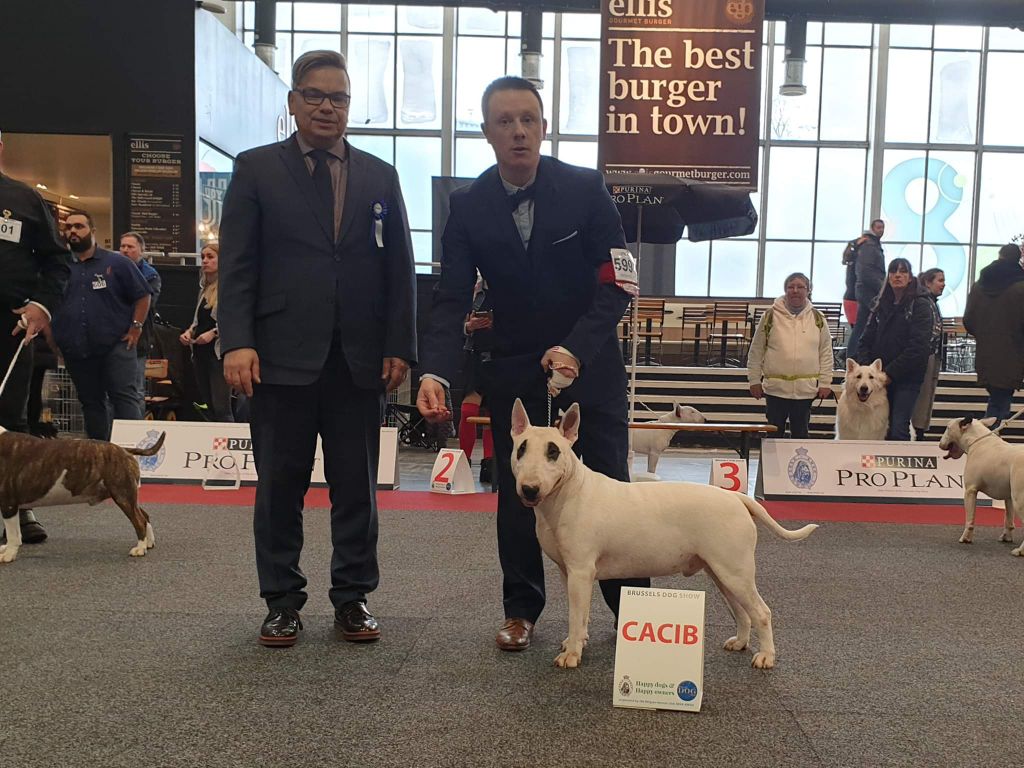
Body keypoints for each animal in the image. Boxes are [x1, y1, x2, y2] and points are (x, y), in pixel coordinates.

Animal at [0, 428, 165, 564]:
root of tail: (125, 450)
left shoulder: (8, 503)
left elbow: (13, 534)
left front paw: (8, 555)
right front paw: (6, 549)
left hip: (122, 494)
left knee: (139, 520)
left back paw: (140, 549)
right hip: (127, 495)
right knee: (144, 515)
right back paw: (148, 543)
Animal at [509, 399, 817, 670]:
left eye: (553, 452)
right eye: (521, 449)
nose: (529, 489)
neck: (568, 492)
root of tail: (737, 498)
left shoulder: (581, 571)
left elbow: (575, 617)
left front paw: (571, 655)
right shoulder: (569, 572)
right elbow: (579, 615)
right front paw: (576, 642)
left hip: (735, 571)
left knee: (761, 612)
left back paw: (765, 657)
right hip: (722, 573)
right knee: (742, 611)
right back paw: (739, 642)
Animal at [938, 416, 1024, 553]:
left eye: (947, 427)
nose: (940, 444)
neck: (976, 441)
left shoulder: (970, 491)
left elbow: (970, 519)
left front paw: (966, 538)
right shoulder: (1008, 497)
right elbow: (1008, 519)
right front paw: (1006, 537)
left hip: (1019, 500)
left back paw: (1020, 551)